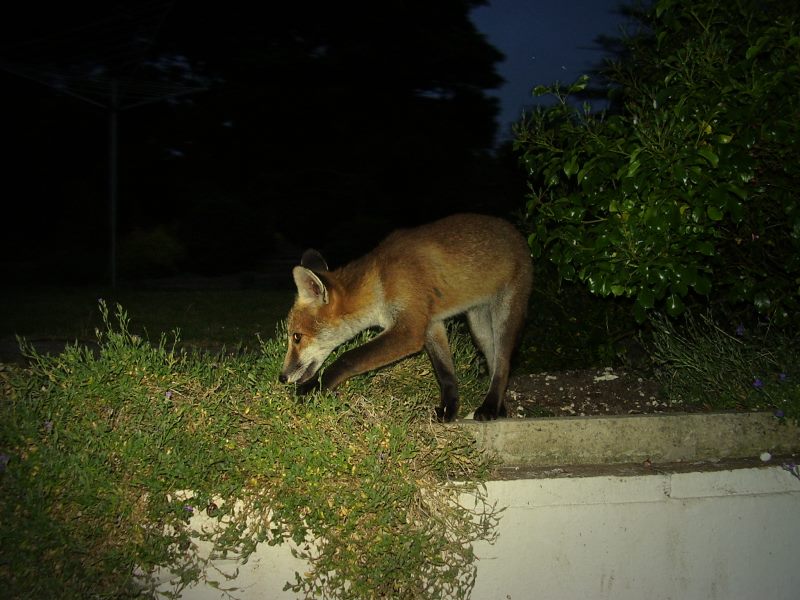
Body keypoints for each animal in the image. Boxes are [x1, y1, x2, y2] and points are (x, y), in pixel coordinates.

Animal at [278, 213, 536, 420]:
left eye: (297, 337)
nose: (281, 377)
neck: (381, 281)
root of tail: (515, 231)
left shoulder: (409, 330)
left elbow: (349, 358)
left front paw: (314, 387)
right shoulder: (430, 323)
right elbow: (445, 373)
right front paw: (449, 410)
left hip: (504, 316)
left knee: (503, 364)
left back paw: (489, 408)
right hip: (479, 328)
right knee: (494, 361)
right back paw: (498, 407)